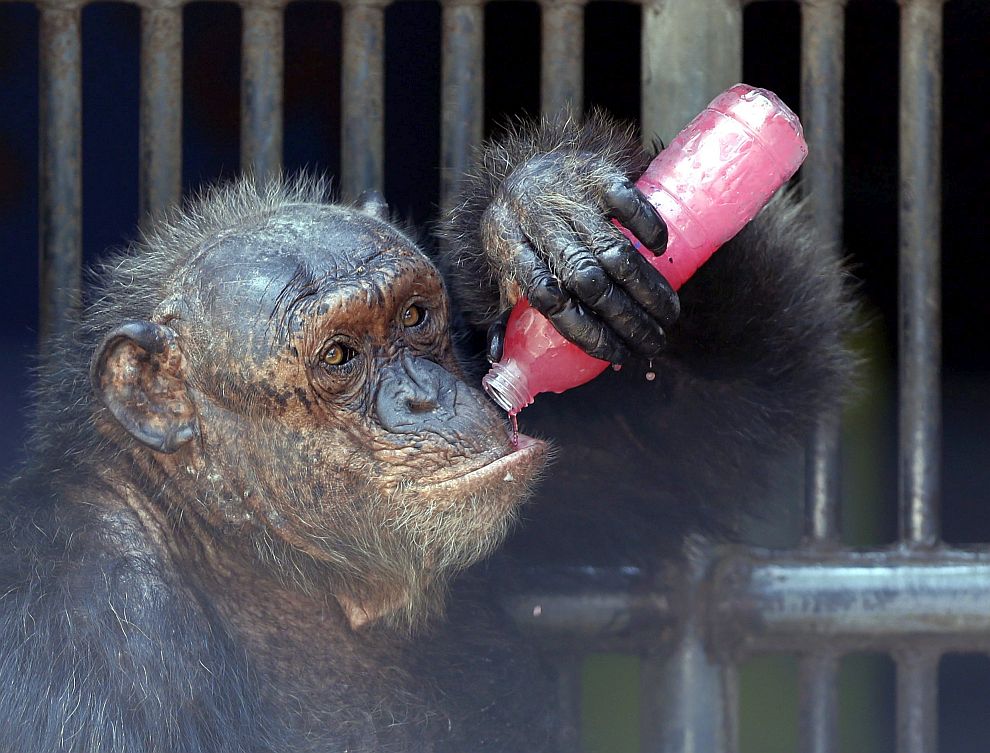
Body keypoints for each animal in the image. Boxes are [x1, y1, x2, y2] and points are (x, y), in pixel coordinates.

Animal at [0, 113, 852, 752]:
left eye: (414, 315)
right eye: (338, 355)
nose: (425, 396)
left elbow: (702, 423)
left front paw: (540, 202)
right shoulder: (79, 633)